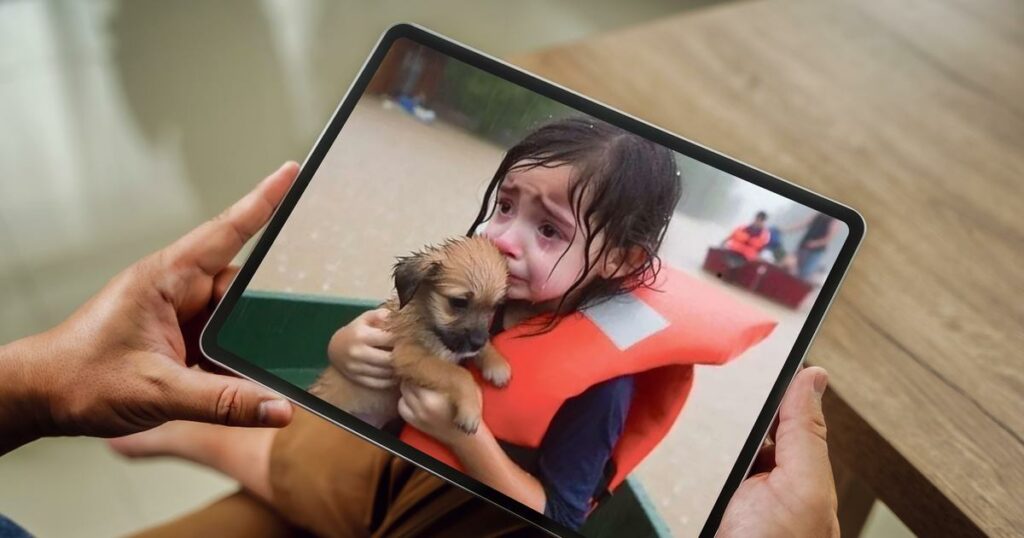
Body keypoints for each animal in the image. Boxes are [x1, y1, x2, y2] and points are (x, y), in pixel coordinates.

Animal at [307, 234, 507, 432]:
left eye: (494, 307)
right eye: (459, 302)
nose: (477, 342)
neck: (427, 319)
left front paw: (497, 364)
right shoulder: (409, 356)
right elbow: (458, 374)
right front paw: (471, 410)